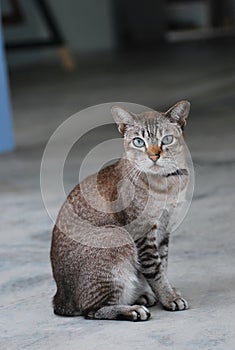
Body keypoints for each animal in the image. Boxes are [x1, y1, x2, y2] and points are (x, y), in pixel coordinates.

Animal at [50, 100, 192, 322]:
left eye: (167, 140)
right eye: (139, 142)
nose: (154, 155)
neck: (167, 184)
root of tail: (60, 298)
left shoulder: (165, 231)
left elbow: (164, 265)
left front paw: (167, 293)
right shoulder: (144, 233)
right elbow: (155, 270)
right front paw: (169, 298)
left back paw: (141, 296)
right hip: (115, 235)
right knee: (92, 310)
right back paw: (132, 309)